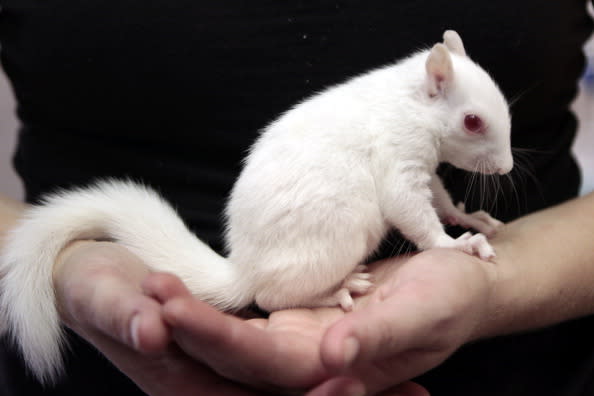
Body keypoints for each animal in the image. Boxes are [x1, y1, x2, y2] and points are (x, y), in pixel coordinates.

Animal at [0, 31, 508, 384]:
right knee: (270, 298)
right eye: (472, 121)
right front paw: (456, 246)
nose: (505, 168)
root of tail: (245, 270)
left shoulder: (424, 167)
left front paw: (468, 219)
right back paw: (333, 292)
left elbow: (439, 197)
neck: (409, 101)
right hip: (329, 244)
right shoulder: (398, 159)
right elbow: (413, 212)